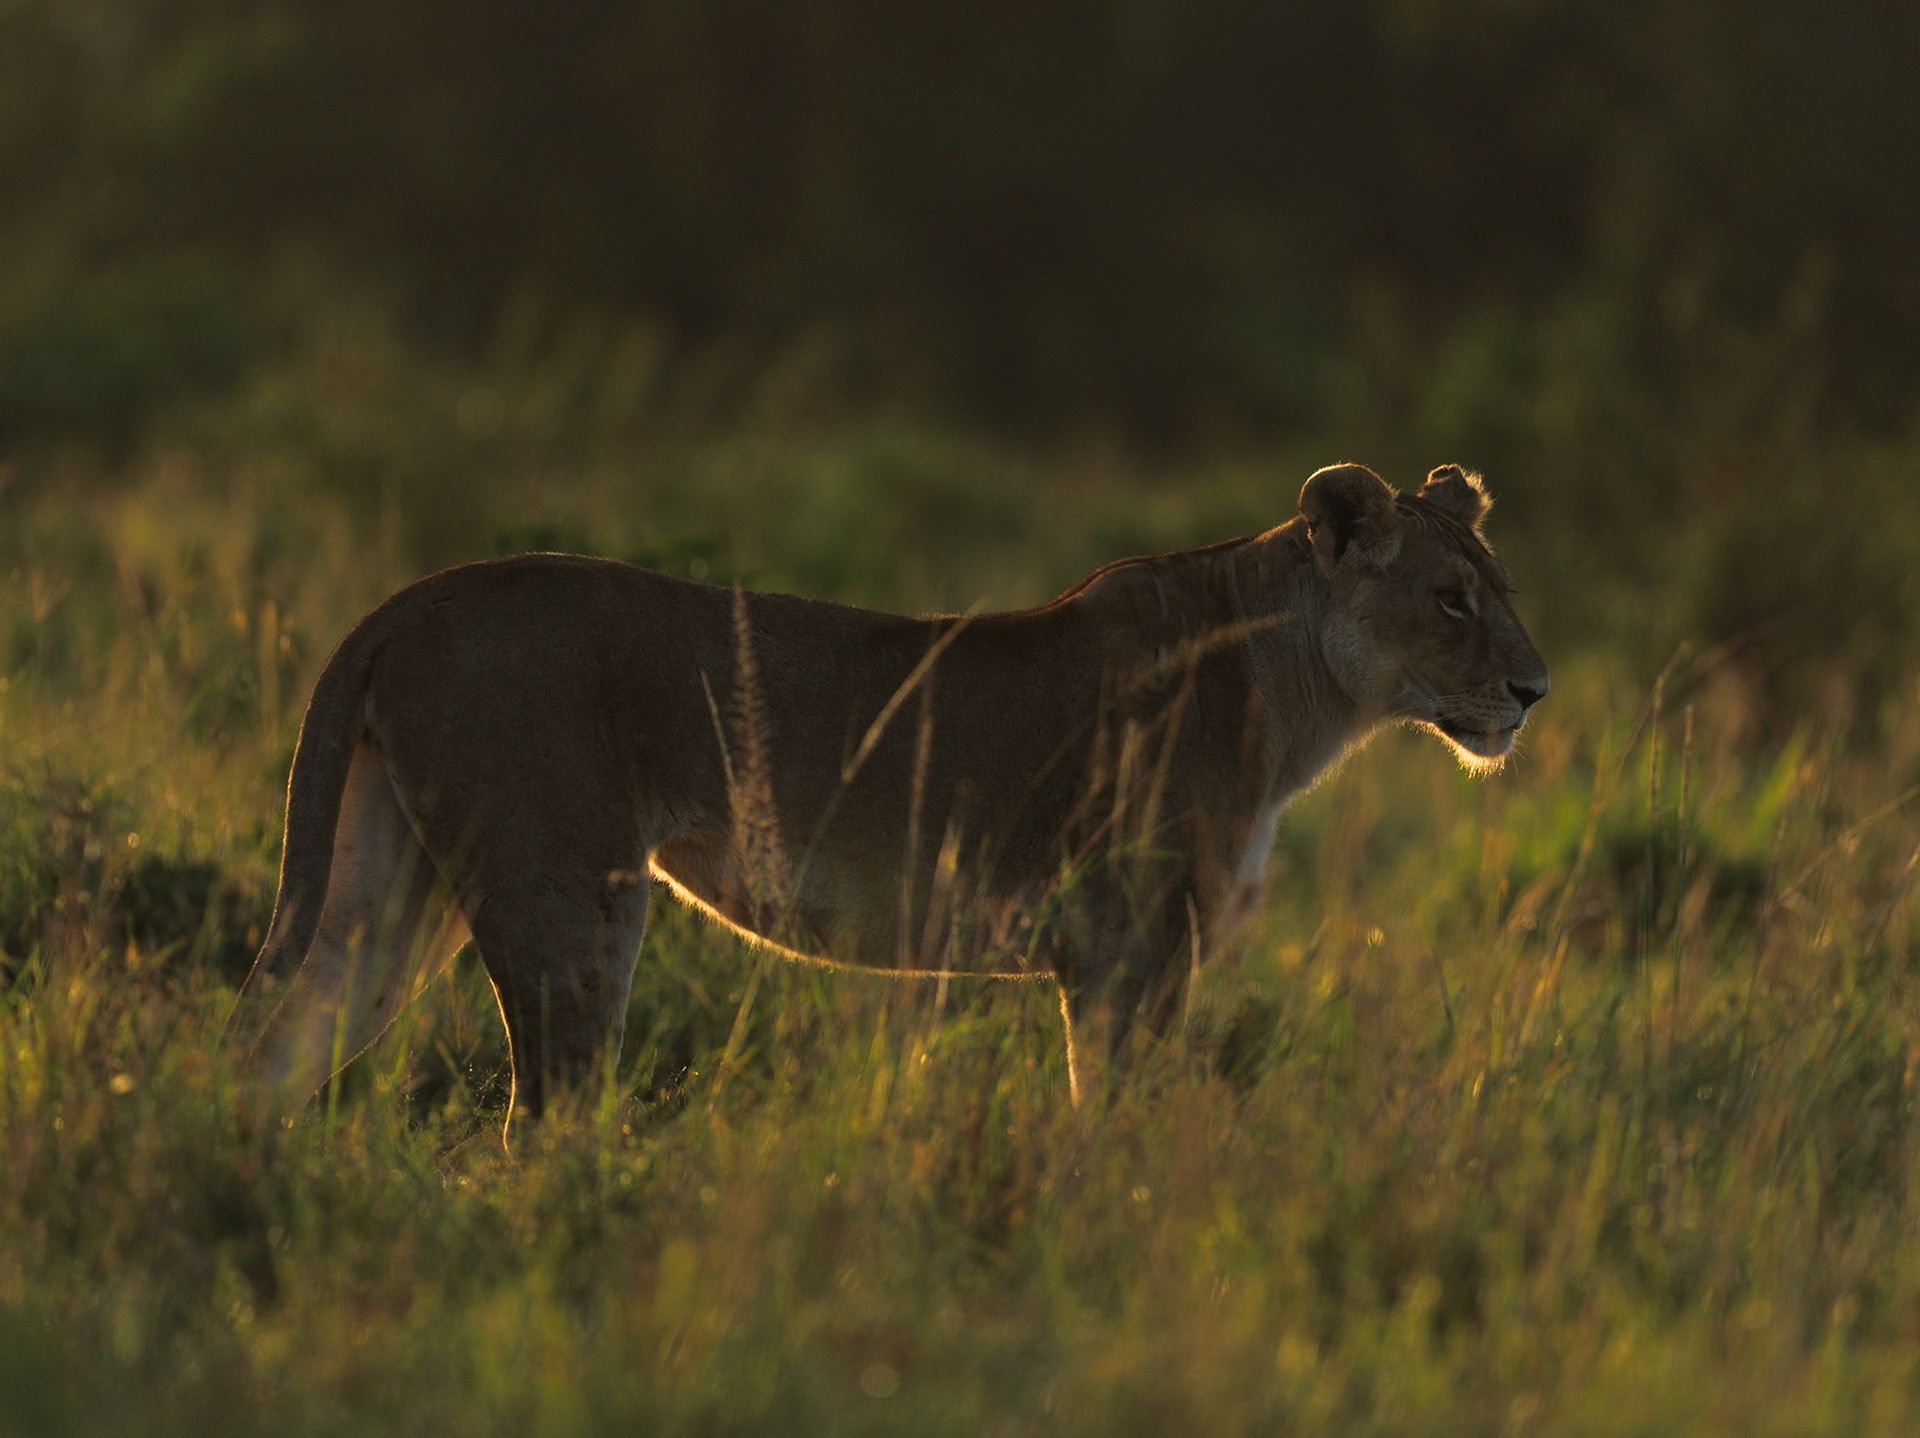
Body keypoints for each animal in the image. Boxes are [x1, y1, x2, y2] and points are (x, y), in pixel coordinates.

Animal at [227, 462, 1546, 1129]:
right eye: (1451, 599)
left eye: (1500, 587)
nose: (1536, 689)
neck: (1295, 699)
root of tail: (411, 598)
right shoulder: (1127, 946)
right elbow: (1117, 1119)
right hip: (568, 897)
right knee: (545, 1114)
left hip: (379, 889)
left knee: (276, 1045)